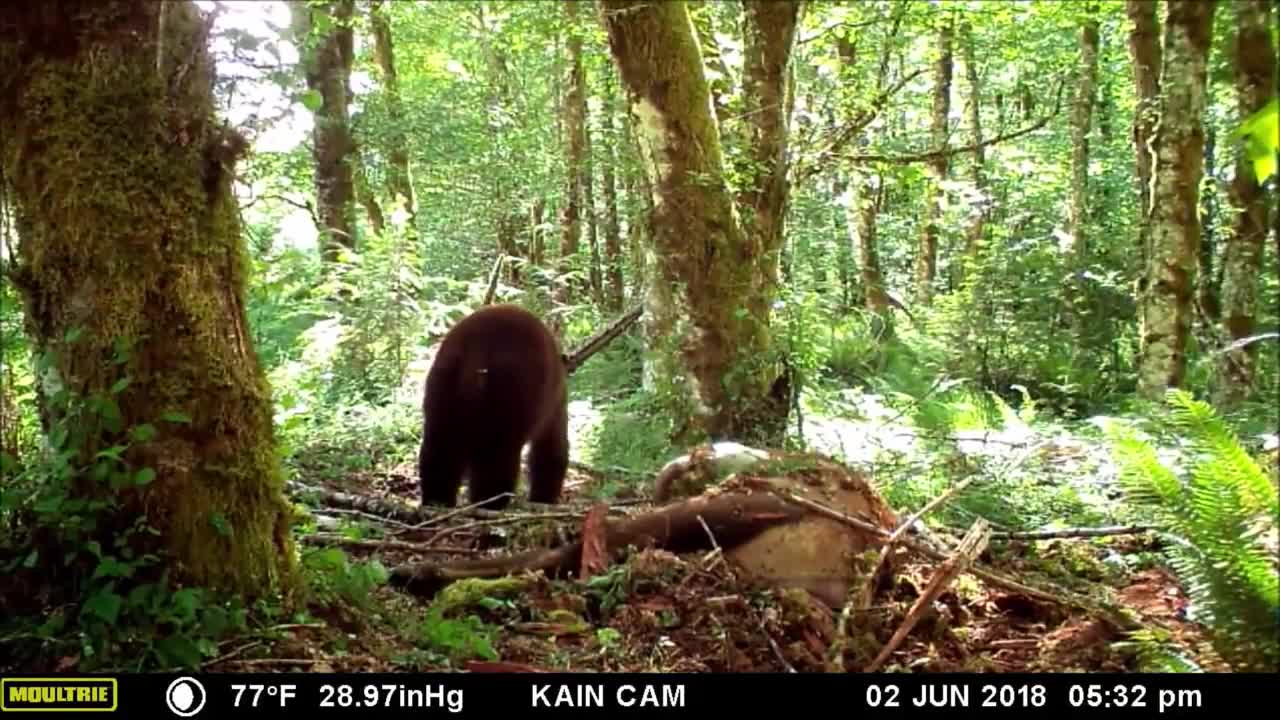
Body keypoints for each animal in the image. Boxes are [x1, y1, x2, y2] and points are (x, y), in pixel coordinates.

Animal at [417, 302, 568, 509]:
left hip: (443, 382)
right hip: (512, 391)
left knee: (440, 446)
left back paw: (437, 502)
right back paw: (490, 504)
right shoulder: (555, 404)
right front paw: (544, 499)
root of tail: (479, 347)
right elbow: (551, 449)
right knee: (497, 457)